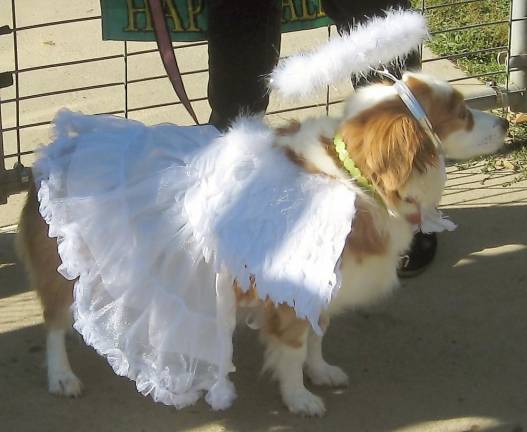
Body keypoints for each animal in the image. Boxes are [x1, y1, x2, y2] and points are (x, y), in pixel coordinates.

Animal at [18, 72, 510, 416]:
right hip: (64, 269)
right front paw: (299, 398)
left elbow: (317, 338)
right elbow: (291, 351)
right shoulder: (292, 294)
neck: (350, 176)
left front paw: (321, 371)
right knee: (55, 324)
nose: (506, 120)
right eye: (462, 113)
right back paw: (62, 376)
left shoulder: (319, 286)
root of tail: (50, 154)